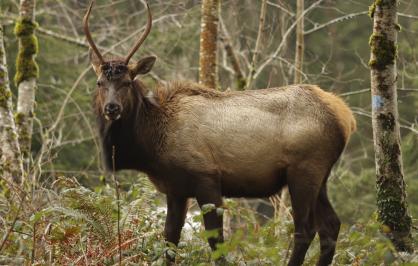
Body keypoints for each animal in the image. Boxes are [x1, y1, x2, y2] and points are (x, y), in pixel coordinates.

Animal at [84, 1, 356, 264]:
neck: (152, 145)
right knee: (331, 226)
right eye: (100, 83)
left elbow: (217, 245)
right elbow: (170, 241)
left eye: (127, 82)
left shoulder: (206, 178)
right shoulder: (175, 189)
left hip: (304, 171)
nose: (112, 108)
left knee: (305, 229)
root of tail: (346, 116)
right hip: (320, 177)